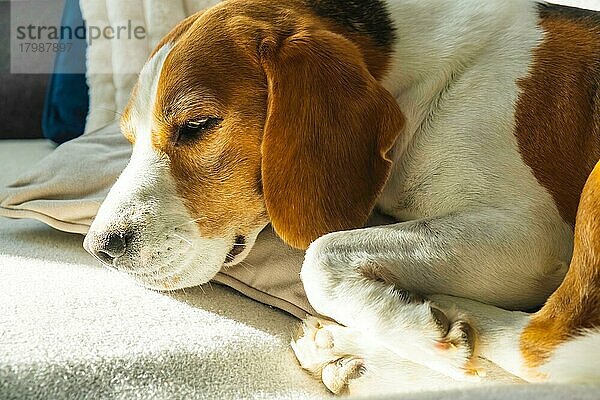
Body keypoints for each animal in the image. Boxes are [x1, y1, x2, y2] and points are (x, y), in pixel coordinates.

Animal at [84, 0, 600, 394]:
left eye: (196, 126)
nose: (98, 248)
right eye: (129, 138)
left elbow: (320, 254)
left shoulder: (530, 234)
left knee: (545, 343)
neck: (423, 73)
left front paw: (419, 326)